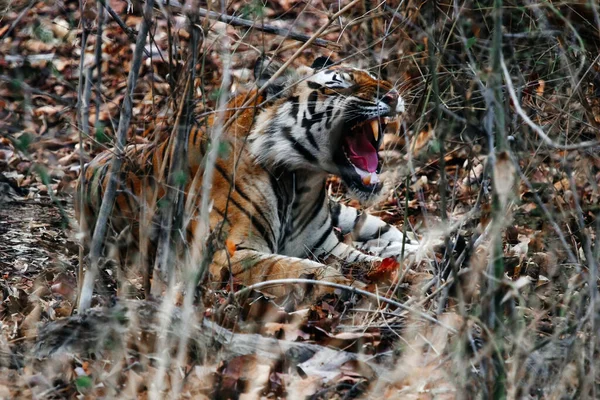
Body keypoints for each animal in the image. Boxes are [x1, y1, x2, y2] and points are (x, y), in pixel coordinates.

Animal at [76, 57, 418, 298]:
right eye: (338, 85)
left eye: (374, 77)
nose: (393, 95)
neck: (301, 181)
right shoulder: (224, 252)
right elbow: (290, 268)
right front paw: (342, 284)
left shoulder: (324, 244)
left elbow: (365, 258)